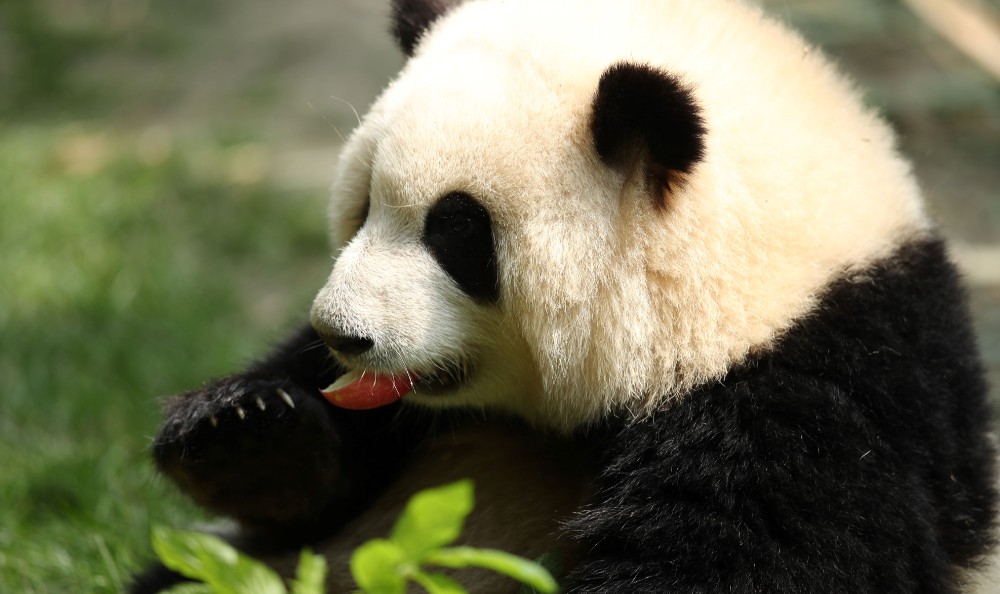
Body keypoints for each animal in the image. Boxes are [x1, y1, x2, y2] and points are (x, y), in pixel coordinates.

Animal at [131, 0, 999, 592]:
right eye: (363, 205)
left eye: (456, 231)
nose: (343, 335)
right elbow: (311, 492)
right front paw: (242, 429)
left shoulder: (822, 404)